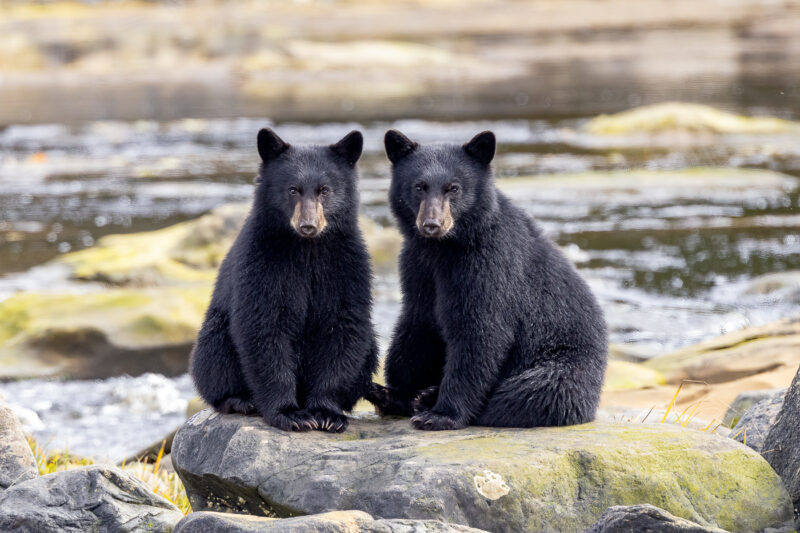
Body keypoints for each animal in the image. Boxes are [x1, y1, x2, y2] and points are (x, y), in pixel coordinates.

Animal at [194, 129, 382, 432]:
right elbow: (264, 326)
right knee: (213, 357)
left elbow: (343, 325)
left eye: (324, 189)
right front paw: (290, 413)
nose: (308, 225)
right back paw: (239, 400)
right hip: (214, 333)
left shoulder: (346, 266)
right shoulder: (263, 262)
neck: (306, 250)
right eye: (293, 189)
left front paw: (327, 413)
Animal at [368, 128, 608, 428]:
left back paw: (431, 399)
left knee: (527, 394)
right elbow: (418, 324)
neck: (444, 248)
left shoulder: (488, 264)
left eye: (454, 188)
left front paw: (441, 414)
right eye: (419, 186)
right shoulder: (417, 266)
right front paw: (392, 394)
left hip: (562, 368)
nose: (432, 224)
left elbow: (481, 330)